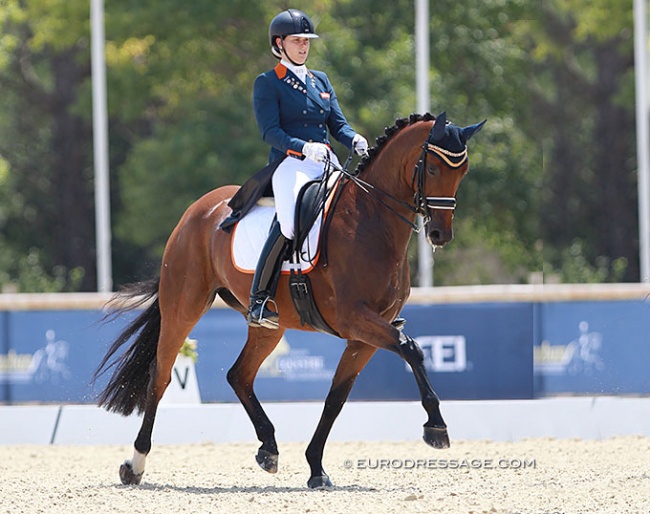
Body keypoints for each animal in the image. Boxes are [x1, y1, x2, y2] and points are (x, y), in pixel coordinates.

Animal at [93, 110, 484, 486]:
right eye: (431, 168)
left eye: (463, 171)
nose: (440, 234)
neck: (372, 222)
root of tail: (197, 210)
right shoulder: (355, 319)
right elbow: (411, 348)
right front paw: (436, 427)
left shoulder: (365, 335)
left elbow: (336, 397)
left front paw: (316, 468)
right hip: (183, 307)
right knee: (160, 376)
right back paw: (135, 464)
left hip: (269, 325)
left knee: (239, 375)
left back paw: (268, 448)